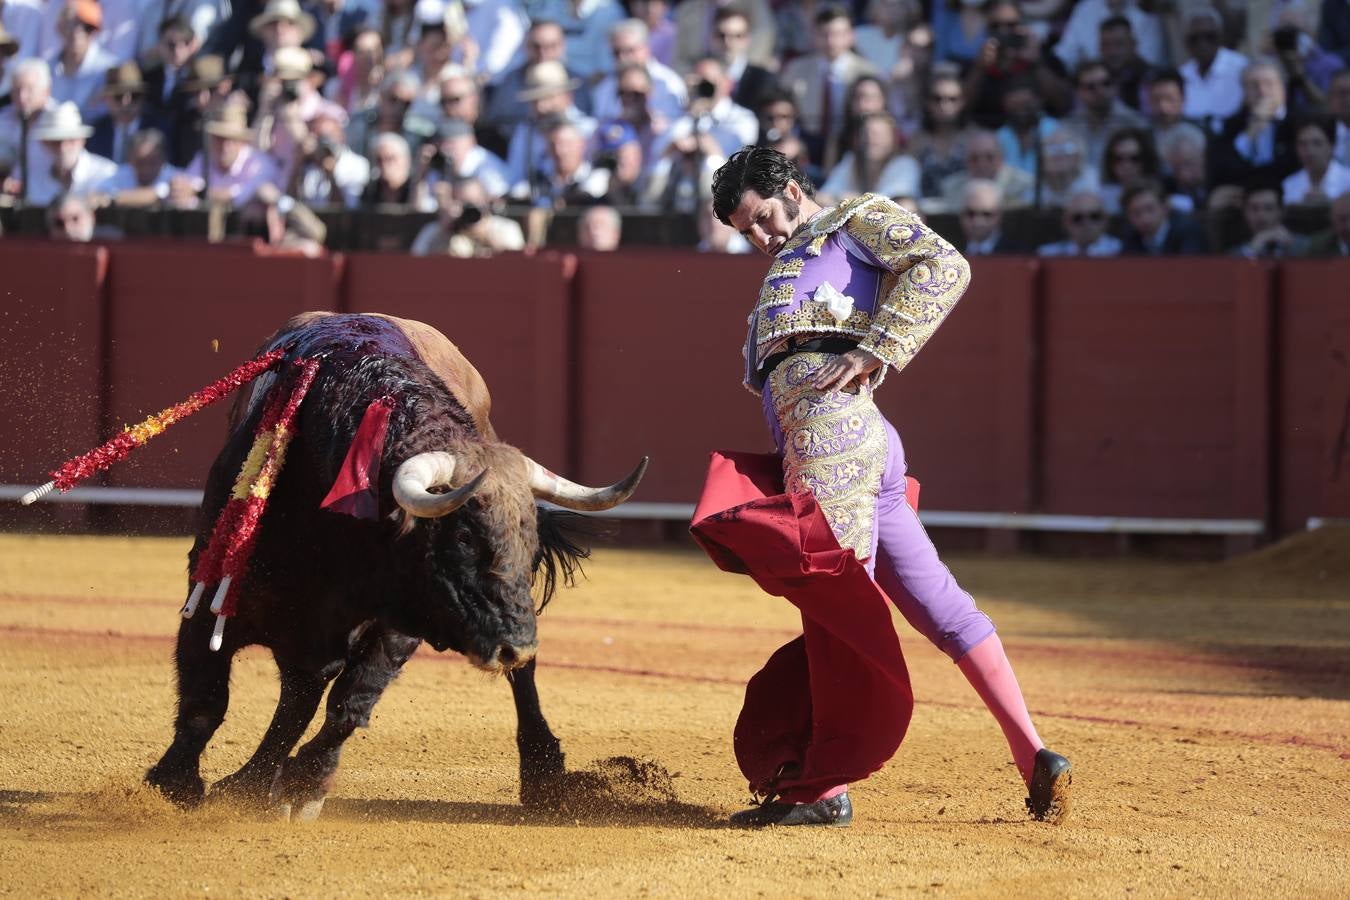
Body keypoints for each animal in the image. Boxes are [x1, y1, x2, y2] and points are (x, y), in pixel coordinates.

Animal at [147, 313, 648, 820]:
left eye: (529, 542)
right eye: (464, 537)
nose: (517, 647)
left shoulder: (402, 619)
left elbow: (350, 703)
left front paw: (301, 788)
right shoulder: (211, 590)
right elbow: (206, 699)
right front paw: (173, 786)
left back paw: (544, 777)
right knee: (293, 698)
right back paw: (246, 782)